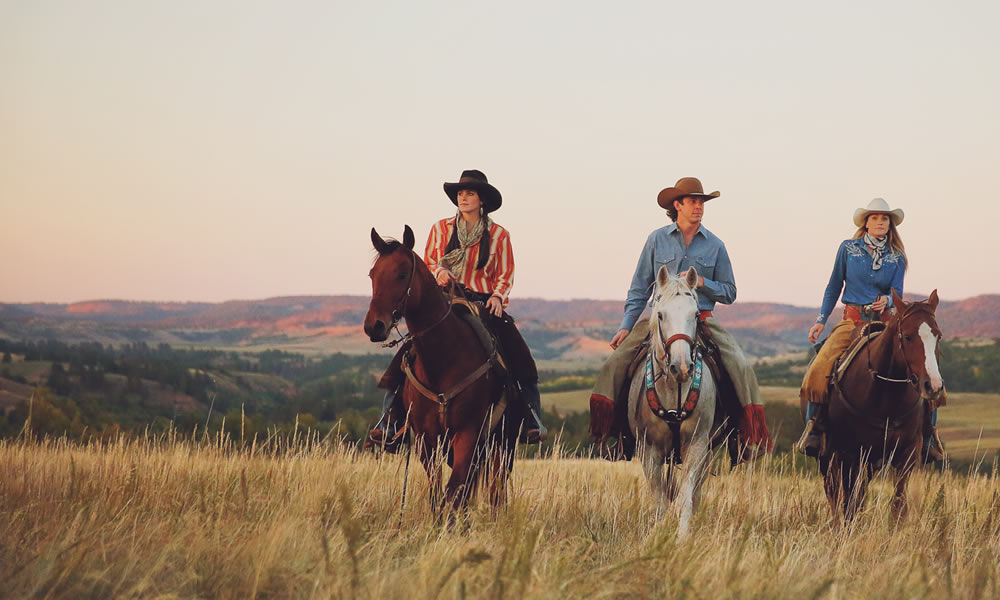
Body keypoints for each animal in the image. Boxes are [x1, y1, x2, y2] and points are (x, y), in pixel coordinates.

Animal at [364, 225, 520, 516]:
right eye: (372, 274)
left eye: (402, 274)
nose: (374, 326)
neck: (444, 358)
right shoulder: (426, 438)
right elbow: (439, 493)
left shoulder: (468, 434)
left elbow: (454, 492)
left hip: (503, 443)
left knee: (496, 489)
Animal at [628, 268, 724, 540]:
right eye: (661, 314)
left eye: (696, 314)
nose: (681, 367)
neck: (673, 391)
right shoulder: (648, 450)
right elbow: (659, 500)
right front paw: (658, 534)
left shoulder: (698, 444)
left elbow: (686, 497)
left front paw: (682, 538)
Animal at [812, 290, 944, 520]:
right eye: (907, 336)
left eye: (938, 335)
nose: (933, 386)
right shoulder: (850, 453)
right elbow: (849, 504)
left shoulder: (907, 453)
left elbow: (898, 506)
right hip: (828, 457)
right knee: (834, 493)